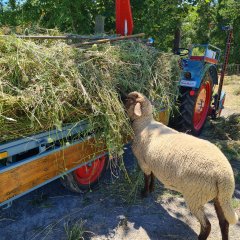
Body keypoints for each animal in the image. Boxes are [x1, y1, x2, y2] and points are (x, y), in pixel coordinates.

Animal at [125, 91, 238, 239]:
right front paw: (152, 189)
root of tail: (225, 177)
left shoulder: (143, 162)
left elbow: (146, 177)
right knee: (224, 222)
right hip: (219, 197)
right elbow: (153, 176)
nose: (120, 97)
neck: (144, 123)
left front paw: (144, 192)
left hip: (196, 195)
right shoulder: (151, 162)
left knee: (207, 225)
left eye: (128, 99)